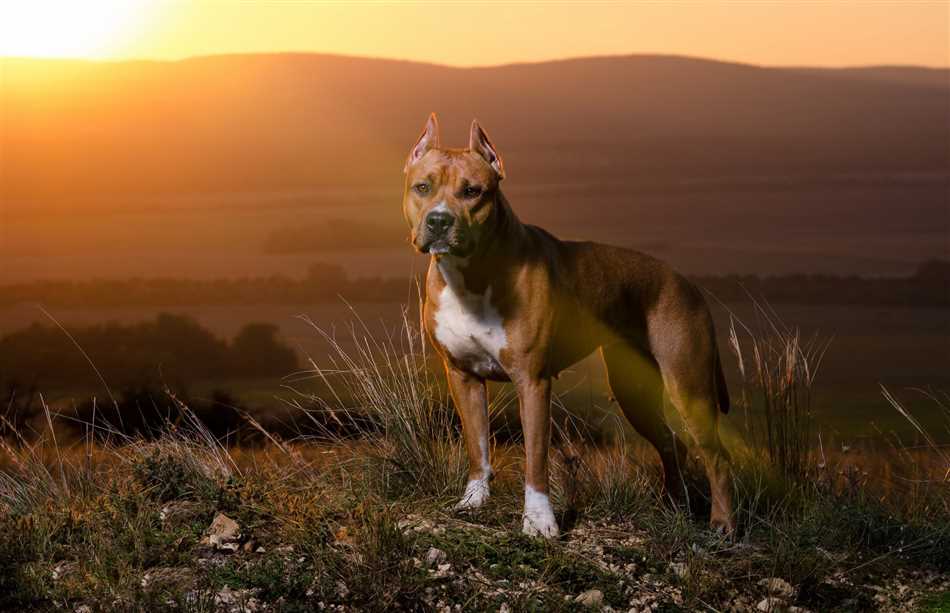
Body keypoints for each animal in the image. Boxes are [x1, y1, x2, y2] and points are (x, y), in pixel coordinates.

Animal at [402, 113, 736, 536]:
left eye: (472, 191)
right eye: (423, 187)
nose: (439, 220)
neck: (470, 275)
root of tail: (687, 282)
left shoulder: (532, 381)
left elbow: (536, 459)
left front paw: (539, 522)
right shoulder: (463, 376)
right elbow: (477, 447)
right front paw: (473, 501)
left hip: (688, 385)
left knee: (717, 457)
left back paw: (723, 524)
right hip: (634, 390)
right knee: (671, 443)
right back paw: (675, 508)